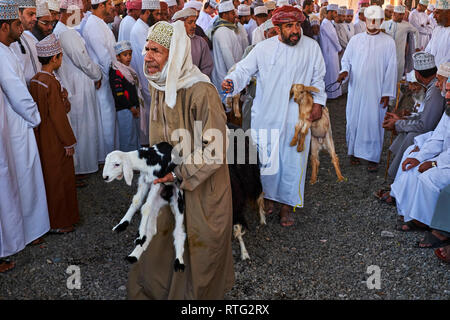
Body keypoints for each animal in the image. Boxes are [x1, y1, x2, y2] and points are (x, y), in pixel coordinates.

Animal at [102, 142, 185, 270]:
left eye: (117, 164)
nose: (105, 177)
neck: (148, 159)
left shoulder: (156, 182)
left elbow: (145, 208)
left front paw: (140, 235)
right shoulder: (144, 180)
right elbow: (137, 201)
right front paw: (122, 224)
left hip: (178, 199)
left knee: (179, 232)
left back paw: (179, 261)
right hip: (157, 200)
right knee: (151, 230)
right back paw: (134, 254)